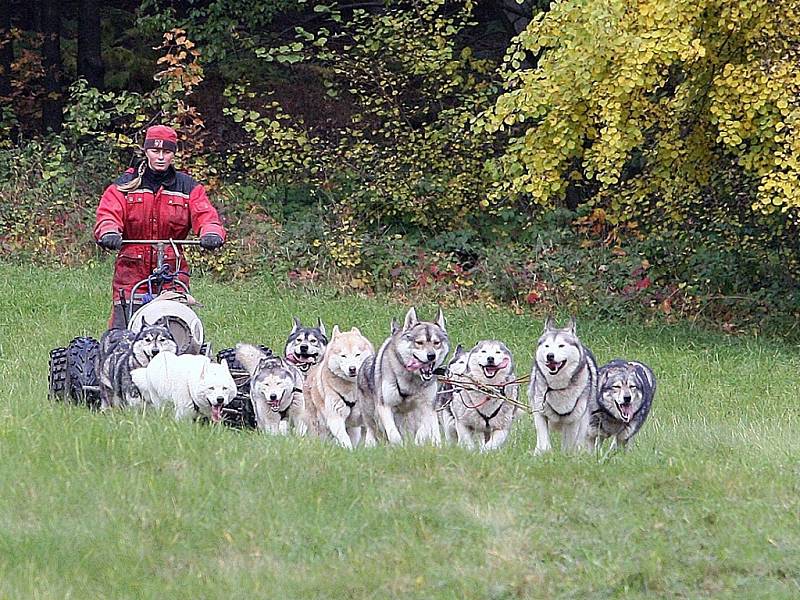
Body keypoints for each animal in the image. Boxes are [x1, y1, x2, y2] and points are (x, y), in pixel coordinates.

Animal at [356, 310, 450, 446]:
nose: (431, 355)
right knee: (372, 431)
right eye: (419, 342)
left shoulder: (427, 407)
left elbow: (423, 430)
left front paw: (417, 443)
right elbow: (394, 435)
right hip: (371, 418)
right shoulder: (385, 406)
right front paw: (399, 446)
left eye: (436, 343)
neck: (411, 381)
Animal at [528, 316, 596, 452]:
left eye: (561, 346)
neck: (558, 387)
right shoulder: (539, 411)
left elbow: (569, 443)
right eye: (547, 346)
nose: (550, 356)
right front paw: (544, 452)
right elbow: (543, 437)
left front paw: (566, 455)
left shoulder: (573, 419)